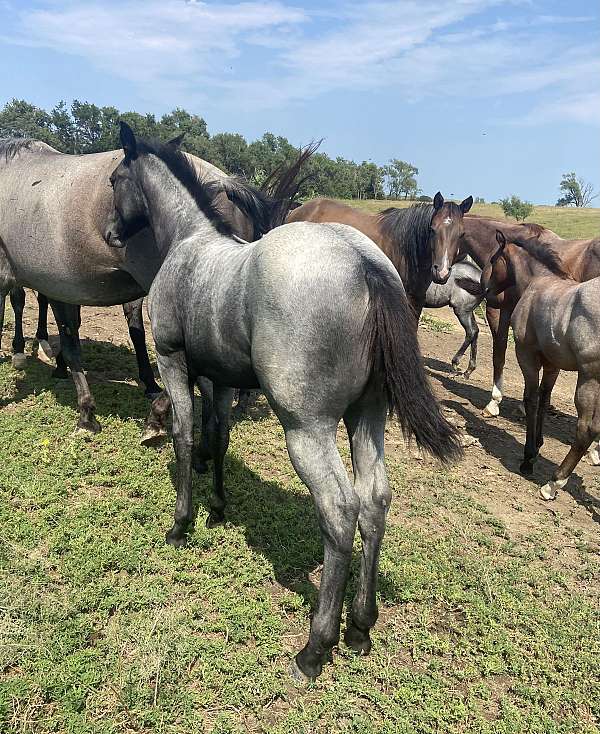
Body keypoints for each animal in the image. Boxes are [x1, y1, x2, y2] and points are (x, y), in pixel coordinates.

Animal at [478, 233, 600, 504]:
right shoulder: (553, 363)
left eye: (493, 260)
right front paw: (539, 442)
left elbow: (531, 399)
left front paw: (529, 456)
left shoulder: (526, 354)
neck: (538, 282)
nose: (486, 290)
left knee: (586, 430)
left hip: (589, 380)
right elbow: (544, 399)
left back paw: (553, 483)